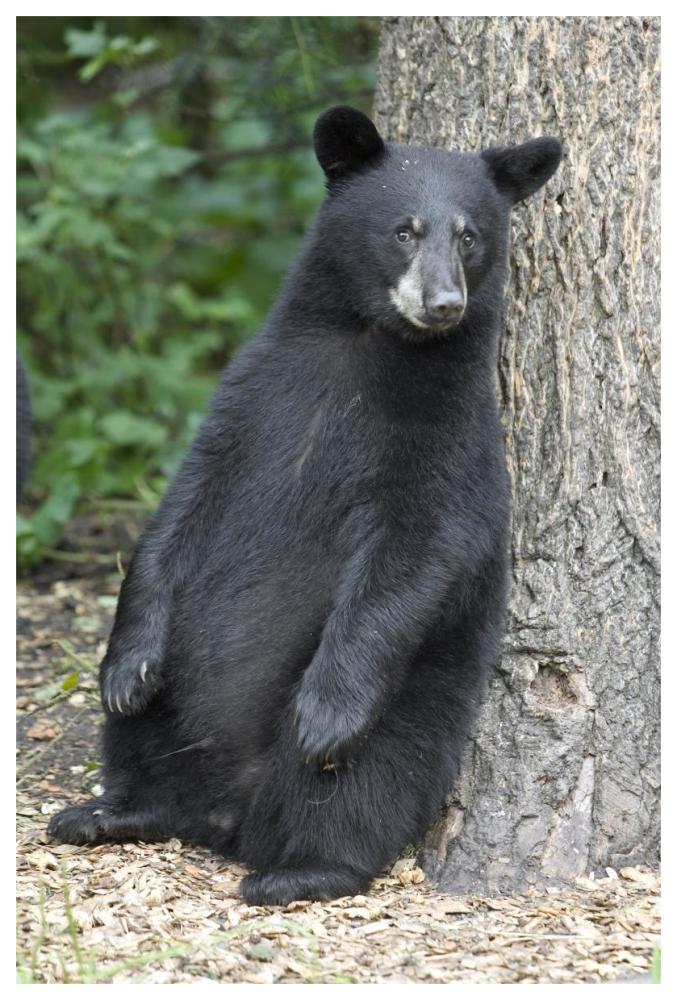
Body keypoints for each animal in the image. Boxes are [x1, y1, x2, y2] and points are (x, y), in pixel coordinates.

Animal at [49, 106, 562, 906]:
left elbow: (415, 551)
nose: (443, 304)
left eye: (470, 235)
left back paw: (303, 867)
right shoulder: (251, 398)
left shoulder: (449, 439)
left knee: (361, 784)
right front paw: (125, 666)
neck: (368, 345)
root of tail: (225, 816)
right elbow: (179, 510)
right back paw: (109, 810)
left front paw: (326, 713)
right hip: (178, 698)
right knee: (142, 737)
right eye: (404, 230)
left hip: (410, 704)